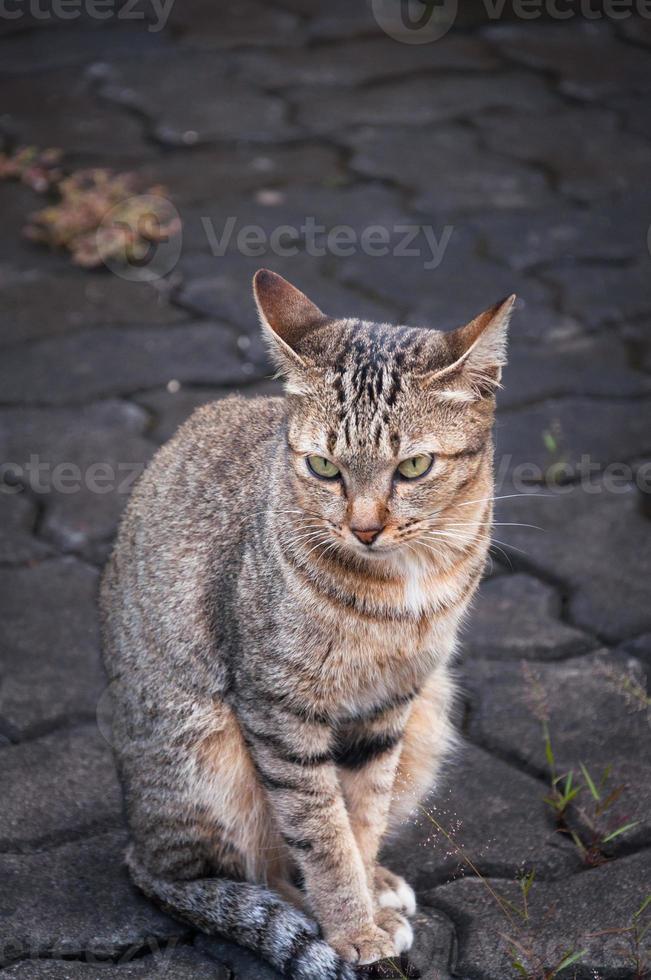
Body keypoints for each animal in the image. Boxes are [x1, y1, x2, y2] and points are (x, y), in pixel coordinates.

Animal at [99, 268, 516, 980]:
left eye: (414, 467)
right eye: (324, 466)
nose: (365, 527)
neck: (401, 585)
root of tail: (138, 845)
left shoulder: (389, 705)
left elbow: (363, 812)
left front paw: (367, 895)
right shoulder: (279, 708)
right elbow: (321, 831)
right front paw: (351, 928)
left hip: (431, 714)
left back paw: (381, 885)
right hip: (206, 751)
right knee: (239, 871)